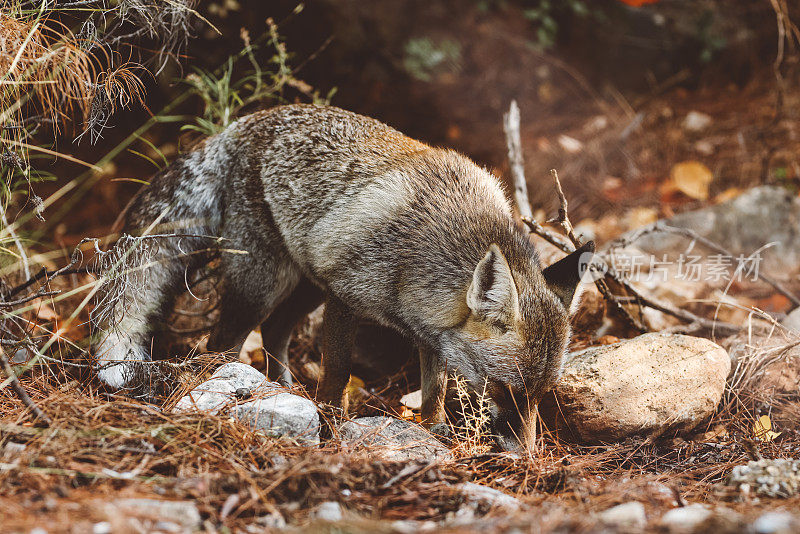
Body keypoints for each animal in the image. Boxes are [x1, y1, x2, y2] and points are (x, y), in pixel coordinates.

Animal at [94, 103, 592, 452]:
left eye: (542, 395)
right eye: (505, 389)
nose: (526, 456)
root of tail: (240, 125)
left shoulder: (430, 332)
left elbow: (434, 390)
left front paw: (434, 430)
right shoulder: (345, 299)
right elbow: (338, 371)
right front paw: (330, 422)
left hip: (305, 285)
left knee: (273, 332)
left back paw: (283, 389)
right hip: (265, 284)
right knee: (221, 345)